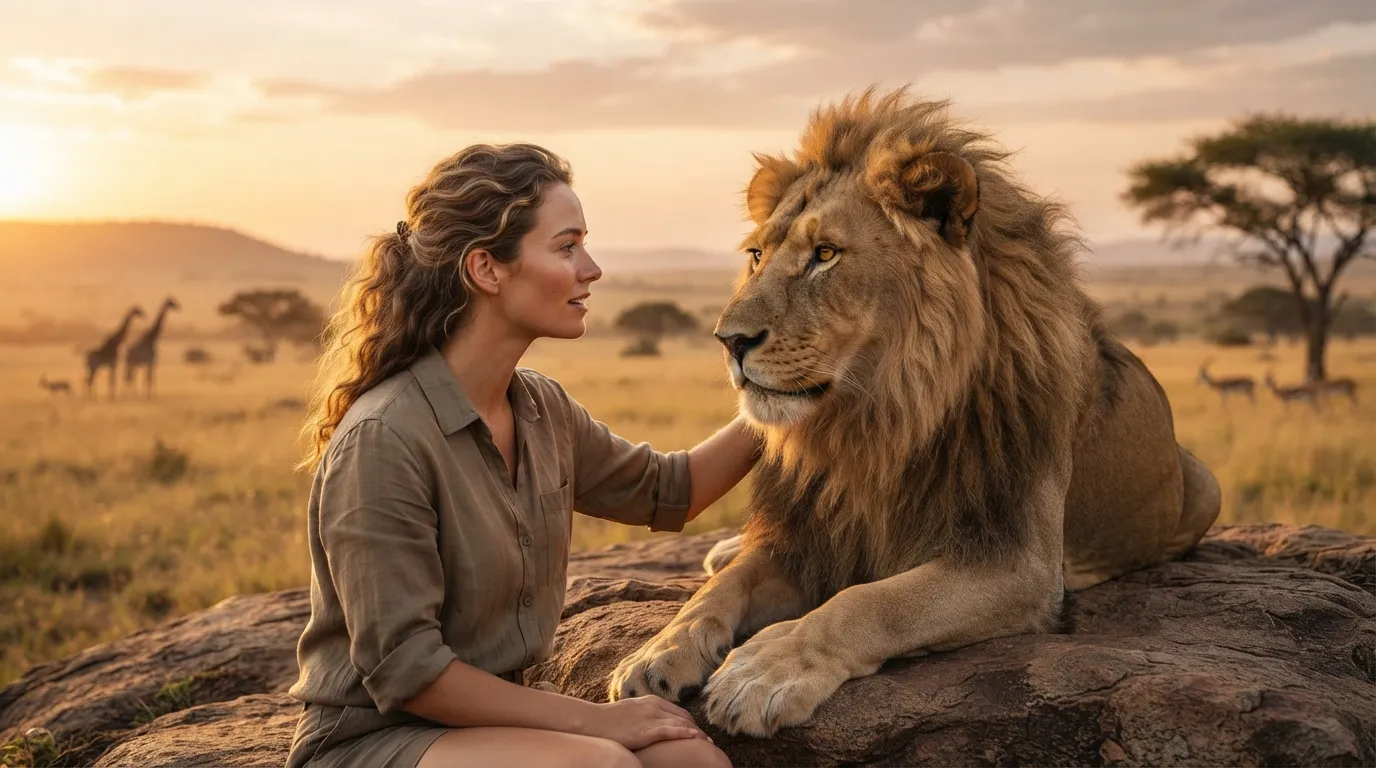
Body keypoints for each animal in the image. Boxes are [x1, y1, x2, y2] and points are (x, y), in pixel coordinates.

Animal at [606, 87, 1222, 737]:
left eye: (825, 254)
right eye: (755, 255)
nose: (728, 340)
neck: (877, 421)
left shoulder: (1019, 566)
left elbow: (868, 602)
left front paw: (765, 670)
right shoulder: (814, 536)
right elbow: (723, 589)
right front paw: (658, 651)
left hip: (1205, 489)